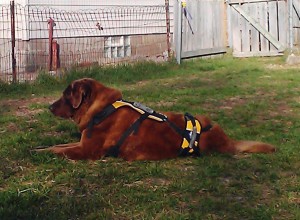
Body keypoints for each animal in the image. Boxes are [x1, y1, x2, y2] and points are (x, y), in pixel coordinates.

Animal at [38, 78, 276, 161]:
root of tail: (224, 138)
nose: (49, 106)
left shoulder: (86, 150)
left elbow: (59, 150)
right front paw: (39, 148)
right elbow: (57, 145)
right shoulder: (80, 143)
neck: (103, 109)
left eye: (66, 95)